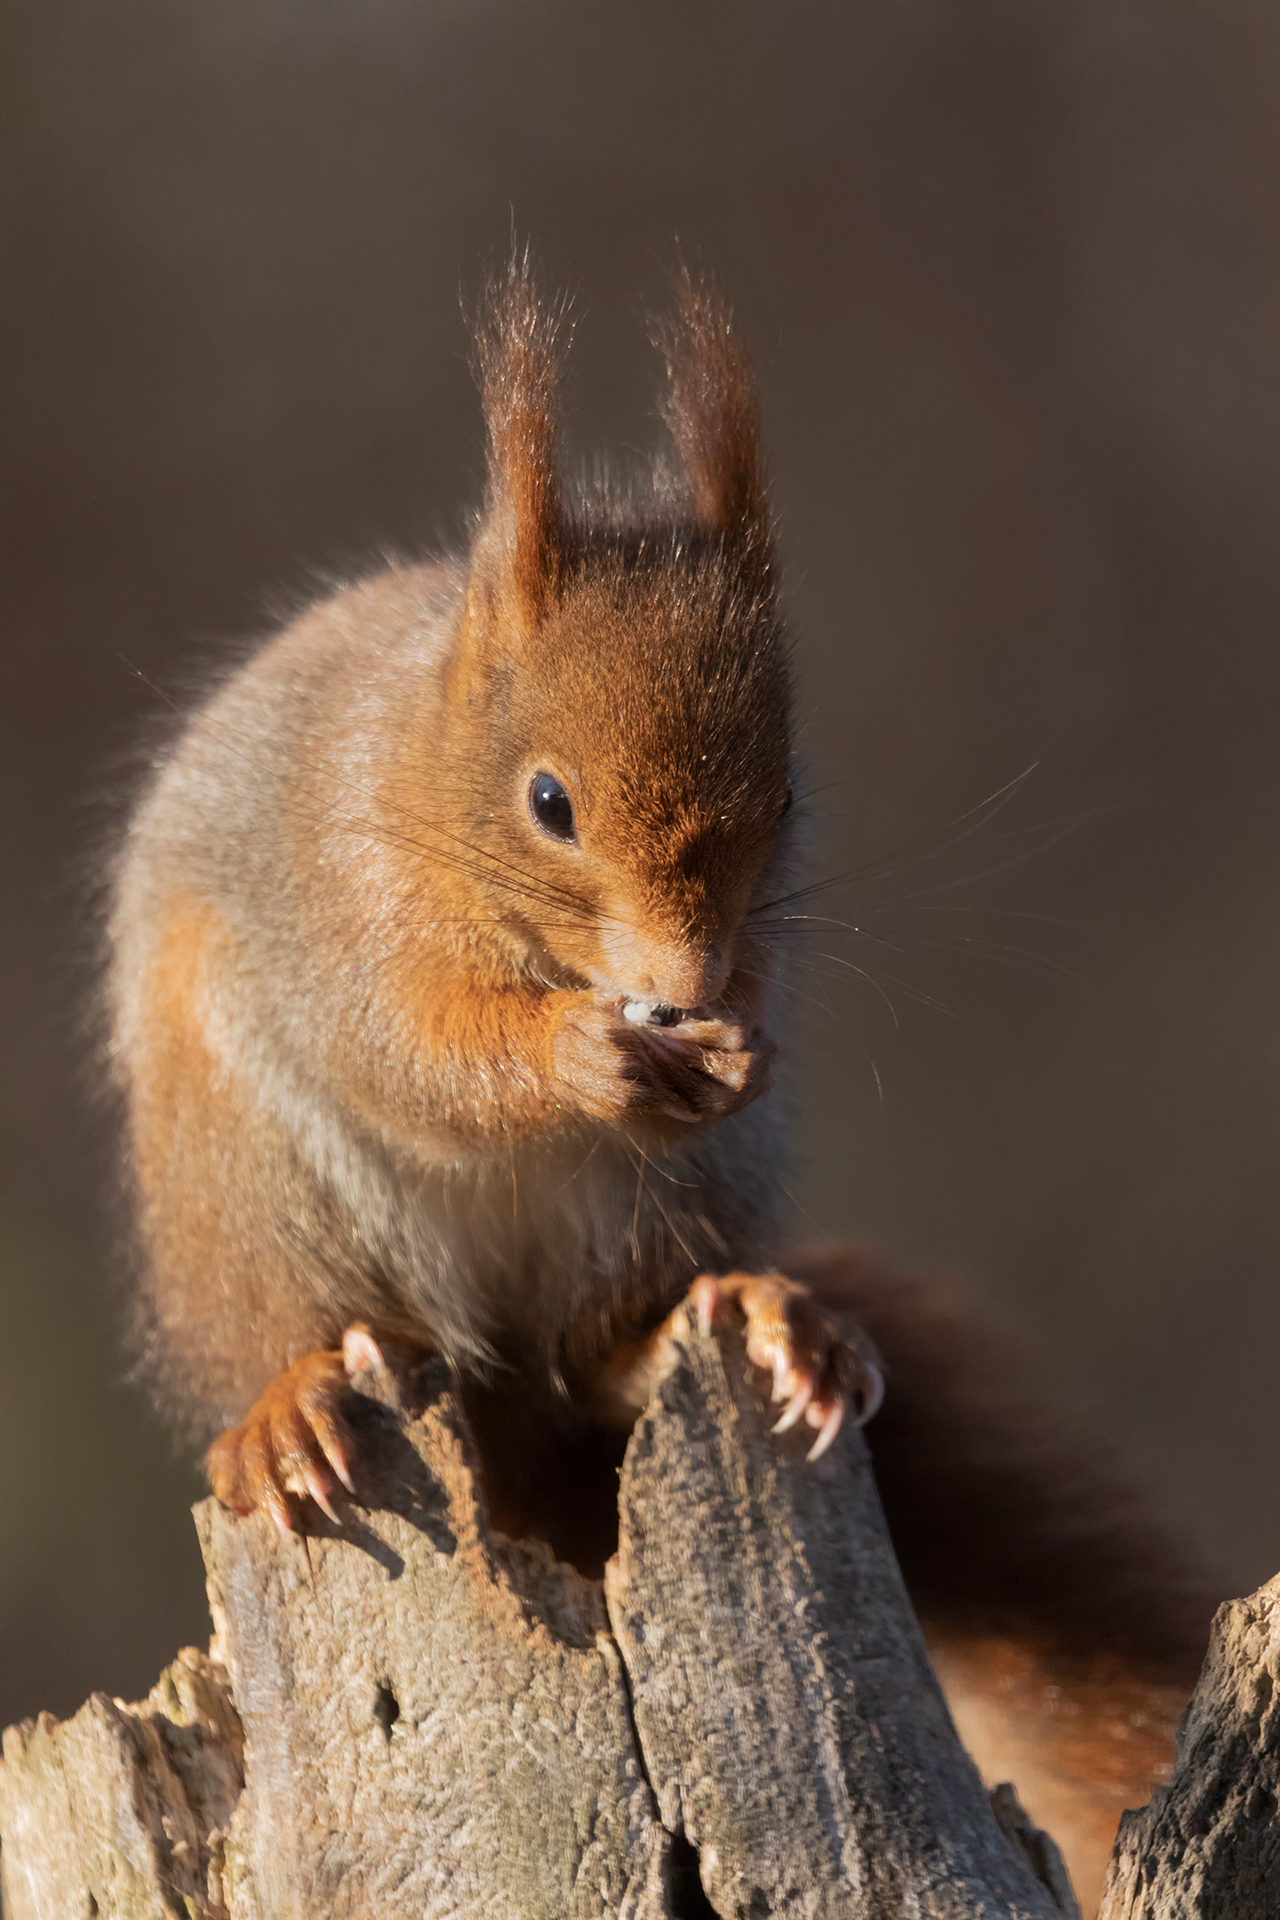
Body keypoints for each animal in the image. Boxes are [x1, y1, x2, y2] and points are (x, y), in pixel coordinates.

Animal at [106, 258, 1214, 1913]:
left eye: (789, 793)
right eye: (549, 801)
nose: (688, 983)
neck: (425, 768)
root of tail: (508, 1451)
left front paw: (737, 1043)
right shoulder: (338, 904)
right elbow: (411, 1050)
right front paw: (578, 1054)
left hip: (661, 1208)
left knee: (601, 1363)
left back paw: (745, 1319)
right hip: (250, 1193)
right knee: (302, 1325)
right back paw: (292, 1405)